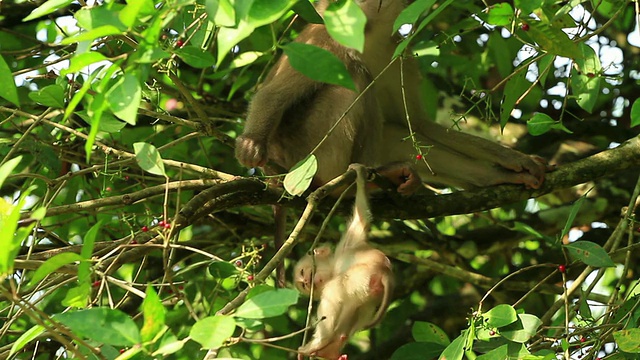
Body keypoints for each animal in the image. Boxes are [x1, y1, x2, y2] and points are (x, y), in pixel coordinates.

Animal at [296, 164, 396, 360]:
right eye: (303, 286)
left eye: (303, 273)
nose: (306, 282)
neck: (334, 265)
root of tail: (384, 271)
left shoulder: (347, 246)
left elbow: (361, 218)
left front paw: (359, 174)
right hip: (368, 291)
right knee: (353, 310)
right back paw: (330, 348)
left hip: (362, 276)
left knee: (333, 290)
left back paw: (322, 341)